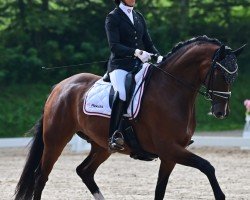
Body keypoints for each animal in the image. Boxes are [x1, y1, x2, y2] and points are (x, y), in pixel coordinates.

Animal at [14, 36, 244, 200]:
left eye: (234, 76)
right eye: (221, 74)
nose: (221, 112)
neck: (171, 89)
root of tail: (59, 87)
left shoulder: (170, 155)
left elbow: (160, 191)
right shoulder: (170, 149)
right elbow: (208, 166)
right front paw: (221, 195)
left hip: (102, 145)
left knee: (84, 171)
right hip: (56, 140)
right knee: (41, 177)